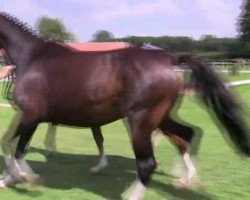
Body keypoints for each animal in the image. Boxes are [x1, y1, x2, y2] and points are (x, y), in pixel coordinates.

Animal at [0, 11, 250, 199]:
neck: (31, 57)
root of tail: (170, 59)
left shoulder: (31, 115)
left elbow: (18, 150)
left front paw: (27, 178)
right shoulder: (27, 116)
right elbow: (8, 144)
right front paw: (8, 179)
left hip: (141, 121)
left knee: (148, 163)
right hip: (160, 118)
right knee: (186, 135)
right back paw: (186, 179)